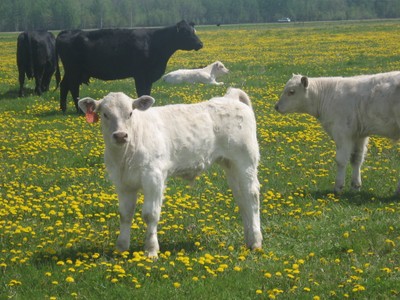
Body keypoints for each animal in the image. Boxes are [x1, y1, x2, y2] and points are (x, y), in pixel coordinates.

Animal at [56, 20, 203, 112]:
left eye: (194, 30)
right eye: (186, 32)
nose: (200, 44)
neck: (153, 42)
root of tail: (67, 32)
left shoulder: (148, 76)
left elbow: (147, 92)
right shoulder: (140, 75)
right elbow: (142, 91)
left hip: (71, 71)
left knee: (64, 85)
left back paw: (64, 109)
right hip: (73, 70)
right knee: (73, 87)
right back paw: (79, 110)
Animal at [79, 88, 262, 256]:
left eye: (130, 113)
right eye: (105, 114)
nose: (120, 135)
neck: (124, 156)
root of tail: (229, 98)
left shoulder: (154, 178)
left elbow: (150, 214)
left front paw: (151, 250)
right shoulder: (122, 183)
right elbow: (125, 214)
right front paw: (121, 247)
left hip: (246, 161)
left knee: (251, 197)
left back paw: (256, 242)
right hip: (231, 165)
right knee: (241, 198)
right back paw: (249, 240)